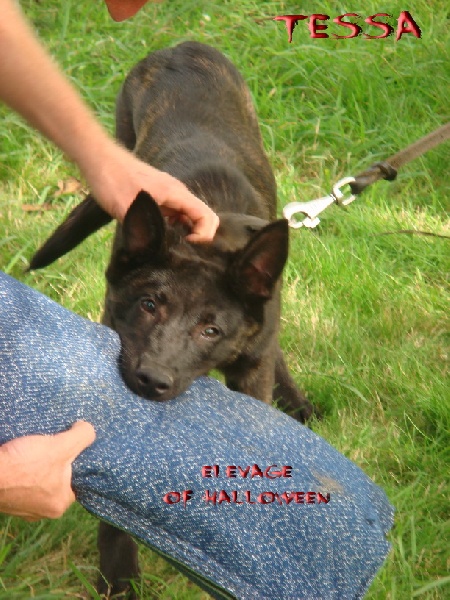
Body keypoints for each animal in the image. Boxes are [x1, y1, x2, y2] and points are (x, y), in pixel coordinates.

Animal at [30, 41, 315, 598]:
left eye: (211, 329)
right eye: (148, 305)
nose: (151, 381)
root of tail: (184, 46)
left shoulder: (251, 367)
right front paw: (120, 578)